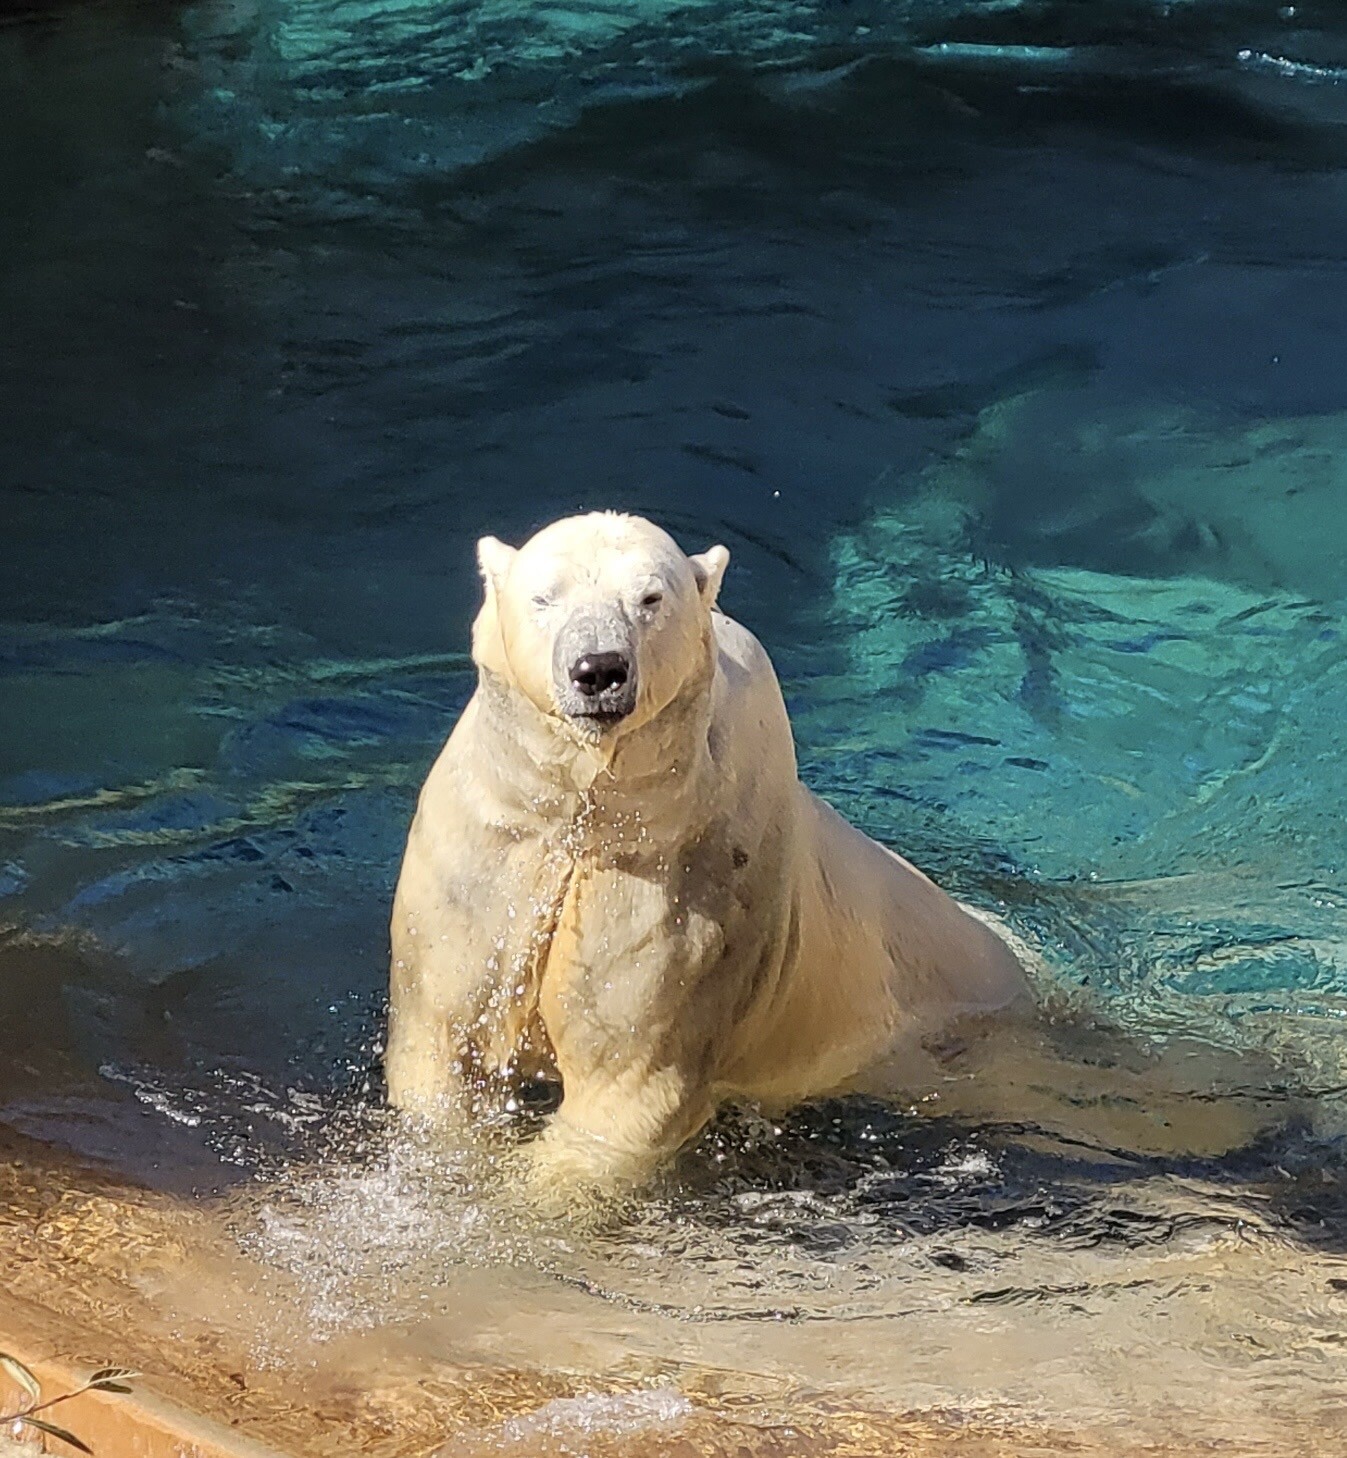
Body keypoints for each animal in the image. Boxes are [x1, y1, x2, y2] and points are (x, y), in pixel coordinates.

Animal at [384, 511, 1032, 1207]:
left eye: (650, 598)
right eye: (543, 597)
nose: (599, 669)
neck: (593, 808)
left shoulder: (687, 891)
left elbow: (623, 1086)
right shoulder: (490, 850)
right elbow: (445, 1042)